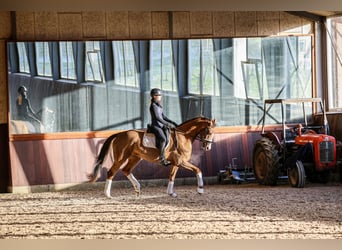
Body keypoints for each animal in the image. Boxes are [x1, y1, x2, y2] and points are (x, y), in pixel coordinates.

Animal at [88, 116, 216, 197]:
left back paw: (137, 189)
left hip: (135, 157)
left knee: (126, 170)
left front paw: (171, 193)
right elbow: (198, 170)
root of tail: (119, 134)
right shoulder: (181, 161)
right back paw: (108, 194)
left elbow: (172, 176)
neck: (184, 136)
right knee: (111, 172)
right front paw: (200, 189)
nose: (208, 148)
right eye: (209, 131)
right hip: (120, 158)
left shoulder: (176, 163)